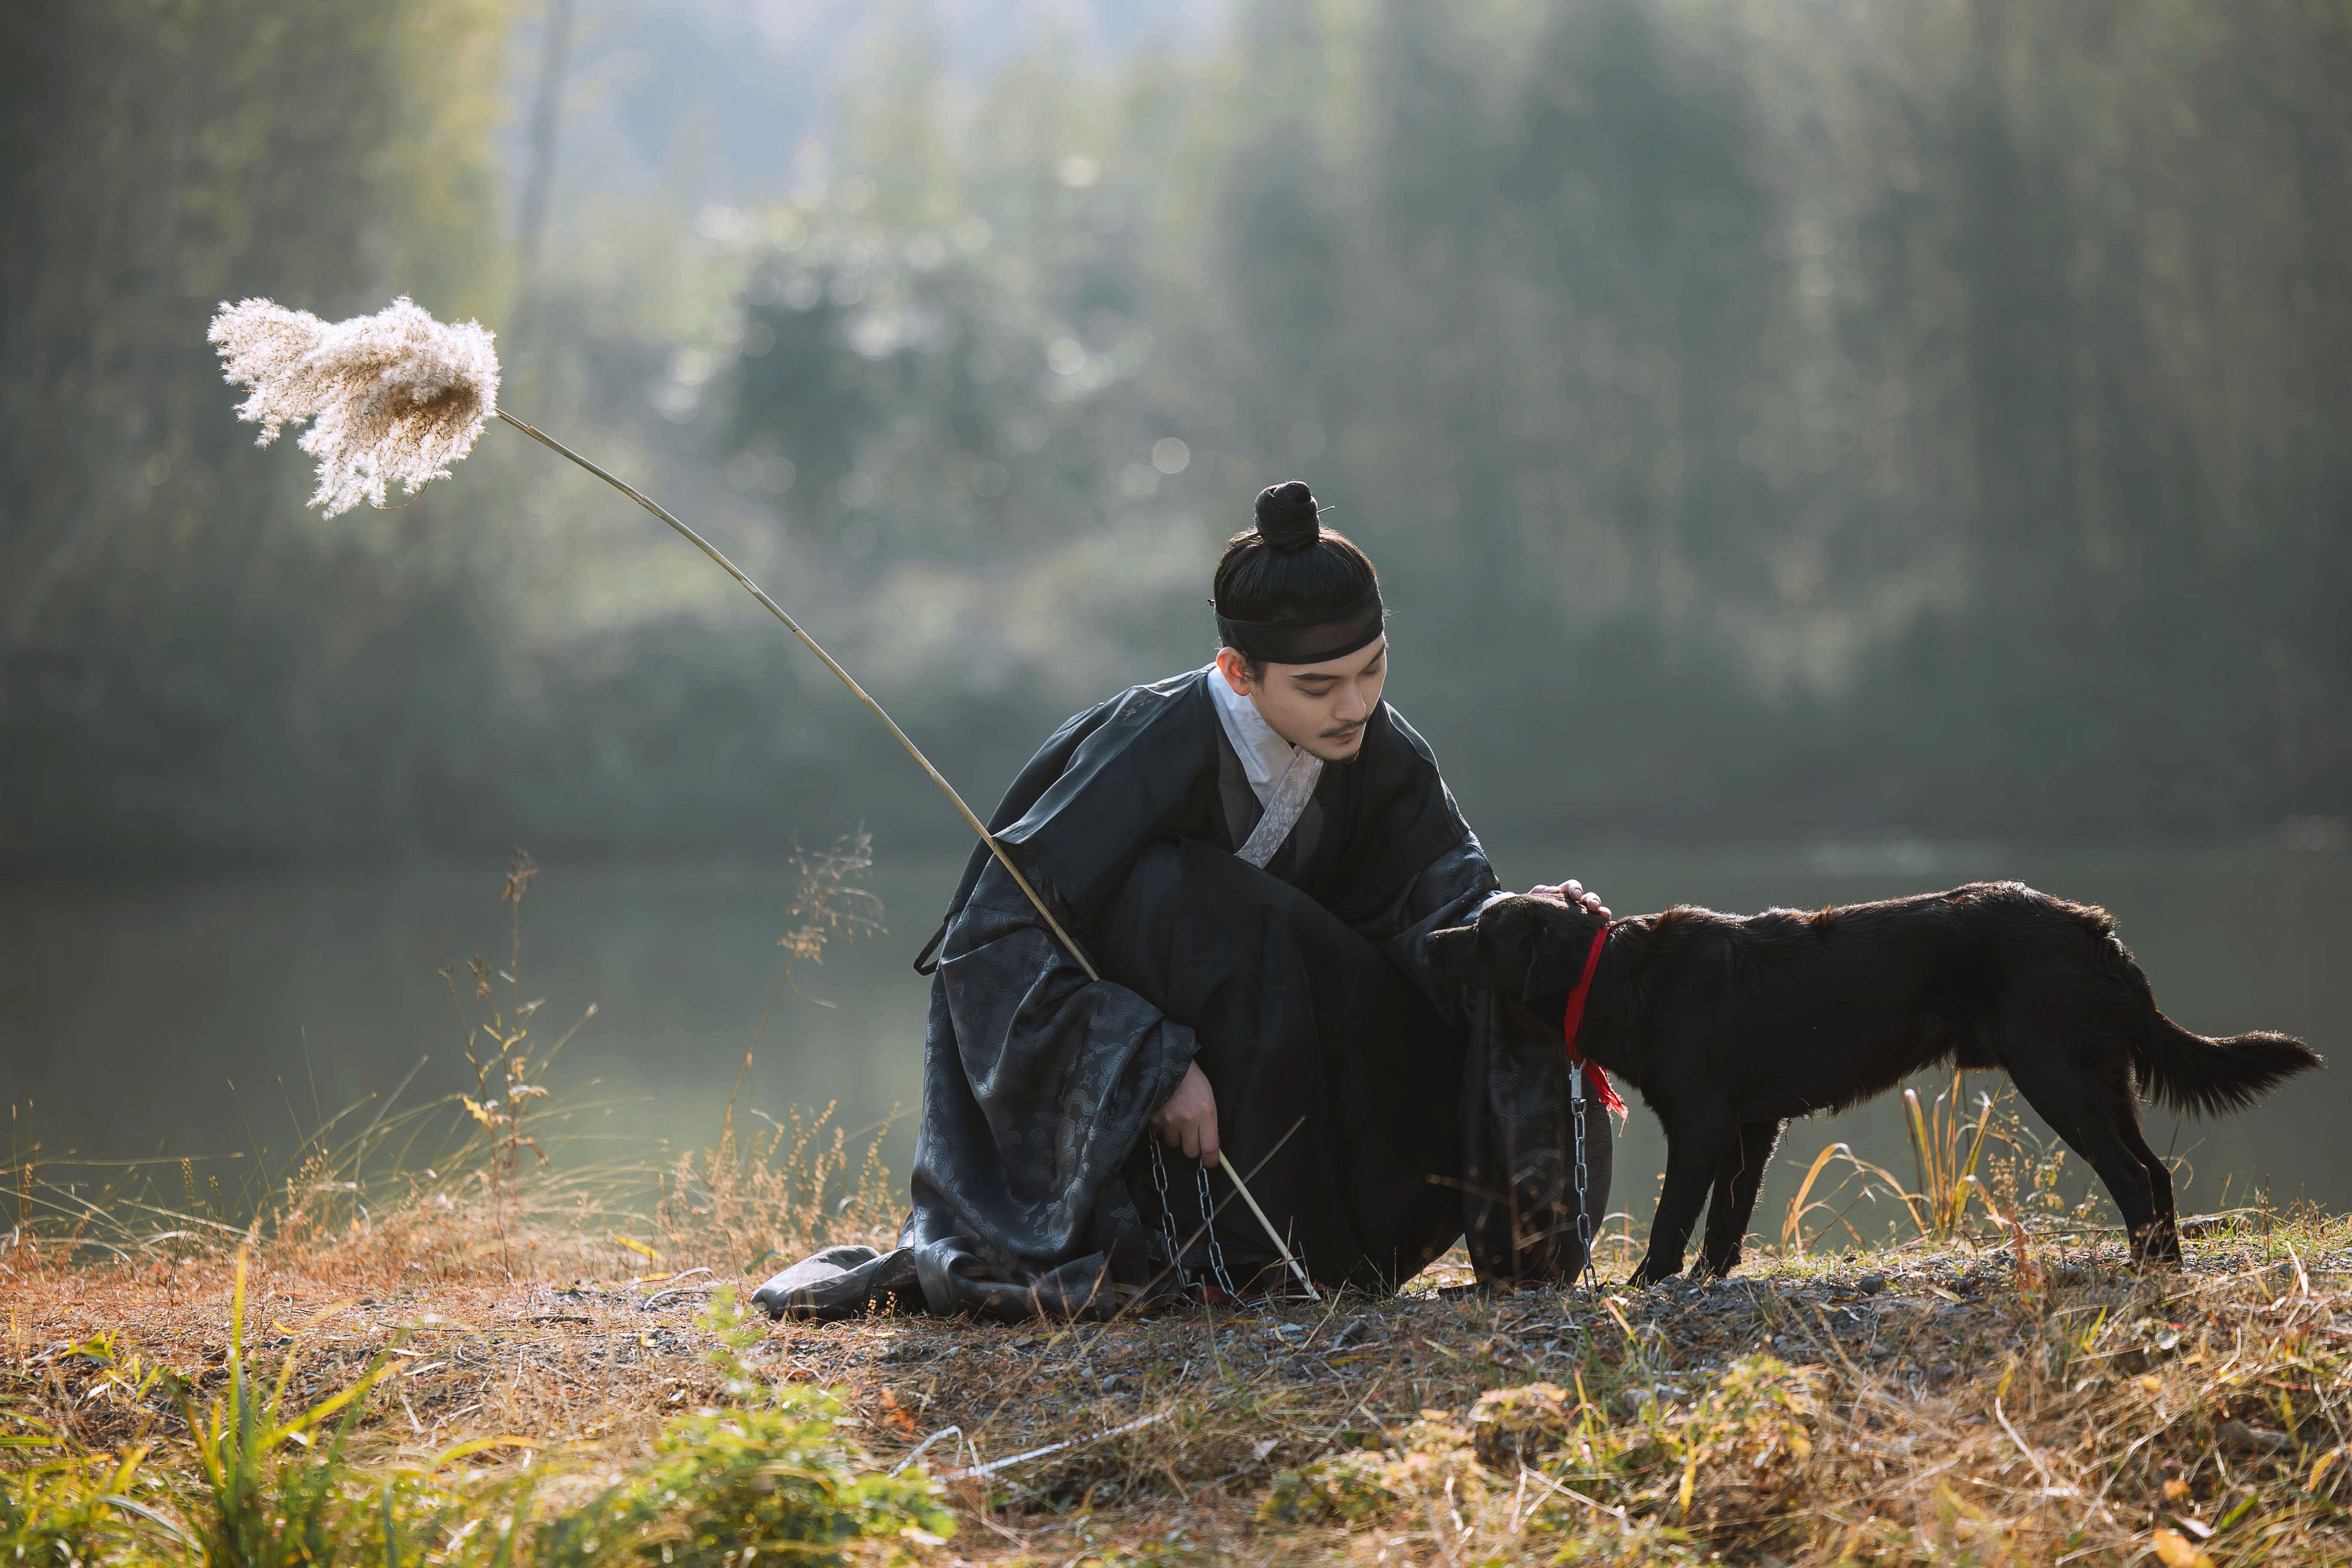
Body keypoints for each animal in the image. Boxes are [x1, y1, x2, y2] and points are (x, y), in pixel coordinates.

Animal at [1420, 884, 2324, 1288]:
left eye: (1484, 931)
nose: (1429, 939)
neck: (1618, 976)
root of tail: (2097, 931)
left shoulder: (1702, 1123)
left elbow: (1676, 1216)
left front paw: (1649, 1282)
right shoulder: (1751, 1128)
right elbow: (1727, 1223)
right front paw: (1712, 1281)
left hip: (2058, 1076)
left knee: (2134, 1177)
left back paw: (2147, 1273)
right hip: (2097, 1078)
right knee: (2157, 1174)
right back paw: (2165, 1266)